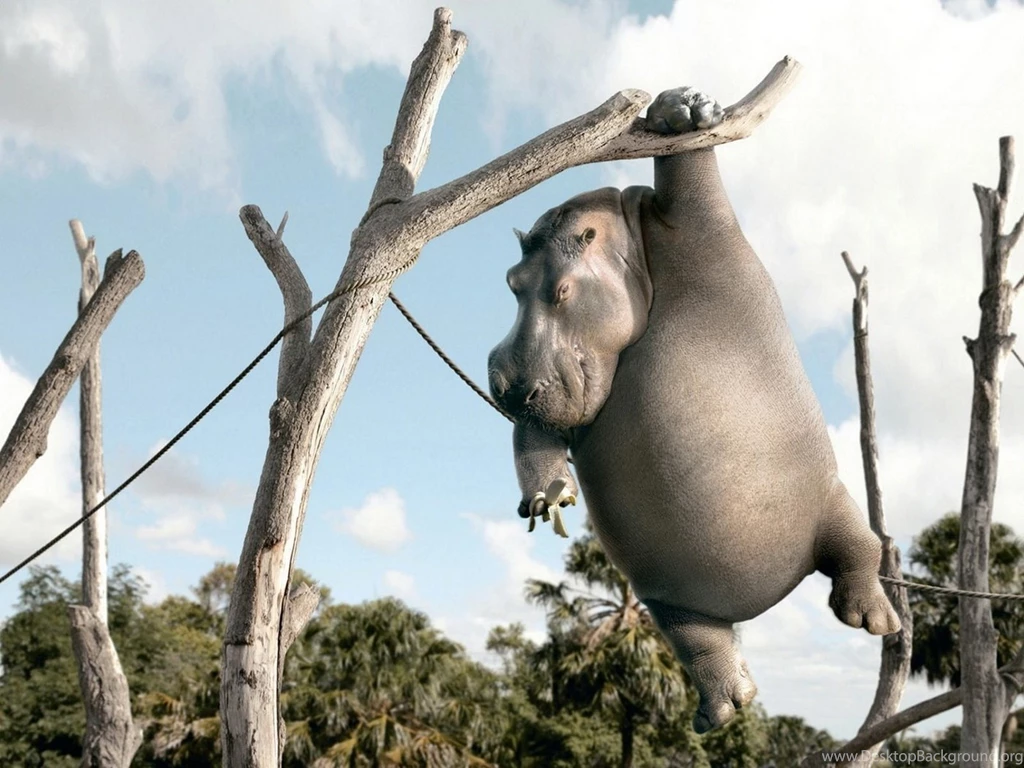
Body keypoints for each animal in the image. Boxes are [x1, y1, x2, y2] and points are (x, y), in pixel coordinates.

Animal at [487, 86, 900, 733]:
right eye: (512, 281)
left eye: (561, 290)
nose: (502, 384)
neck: (625, 240)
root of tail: (763, 599)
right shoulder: (552, 401)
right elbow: (535, 439)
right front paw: (546, 500)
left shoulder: (694, 219)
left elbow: (691, 169)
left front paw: (681, 110)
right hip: (669, 598)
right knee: (705, 644)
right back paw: (723, 711)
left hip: (832, 499)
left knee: (859, 551)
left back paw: (873, 621)